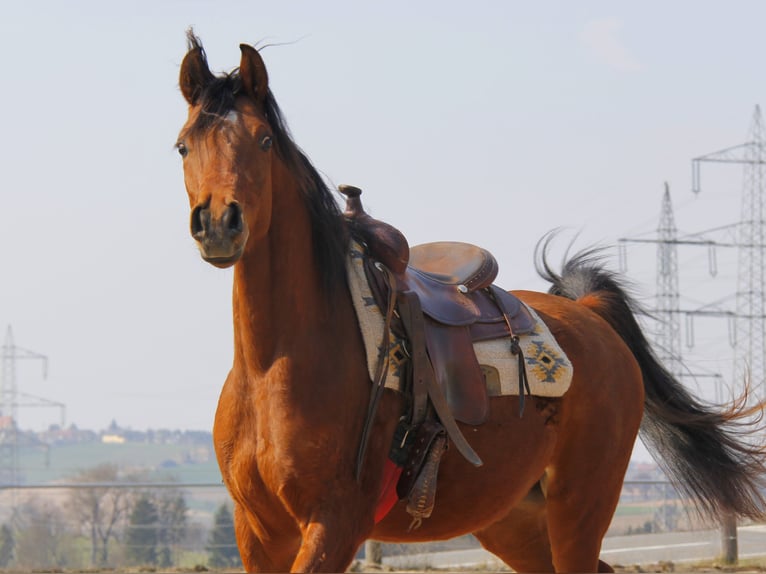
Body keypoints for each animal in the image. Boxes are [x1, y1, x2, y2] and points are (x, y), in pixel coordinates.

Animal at [175, 32, 766, 572]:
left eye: (263, 140)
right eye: (184, 144)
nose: (219, 223)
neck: (276, 365)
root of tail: (591, 314)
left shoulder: (335, 522)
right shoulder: (258, 532)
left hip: (580, 507)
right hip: (514, 521)